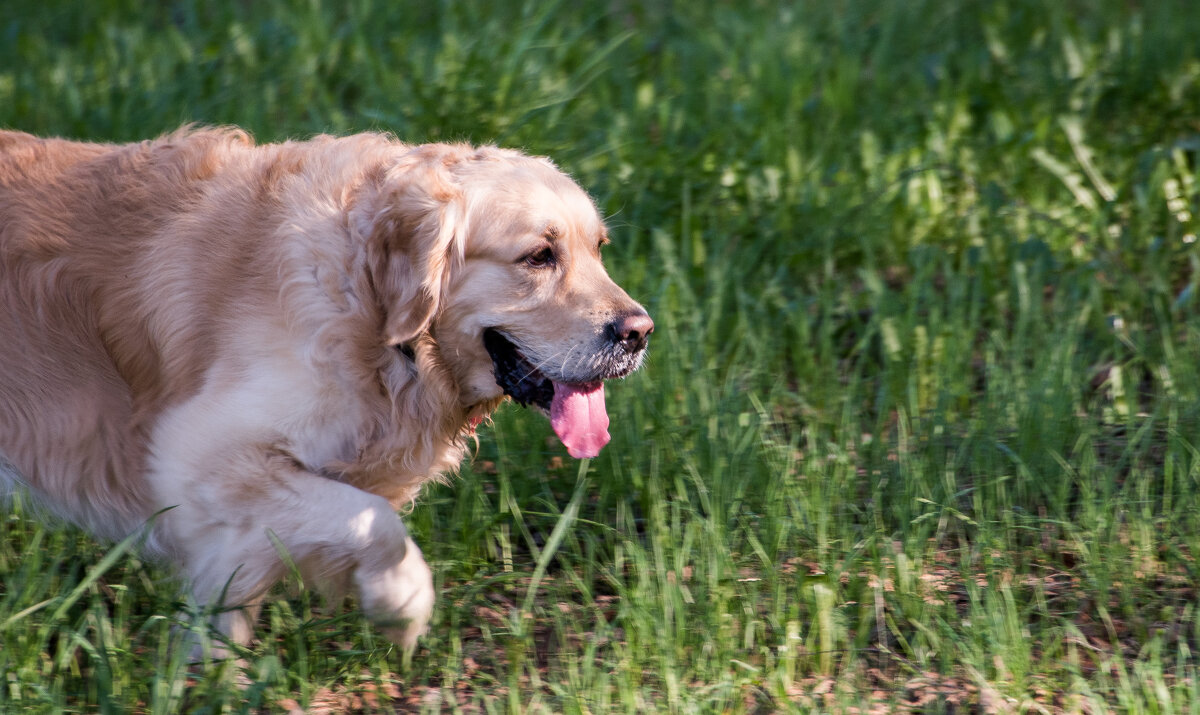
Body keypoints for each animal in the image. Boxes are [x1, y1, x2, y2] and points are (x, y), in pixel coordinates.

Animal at [0, 127, 652, 647]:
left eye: (598, 249)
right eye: (539, 256)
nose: (640, 333)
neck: (372, 315)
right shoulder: (197, 453)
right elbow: (376, 524)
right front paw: (400, 606)